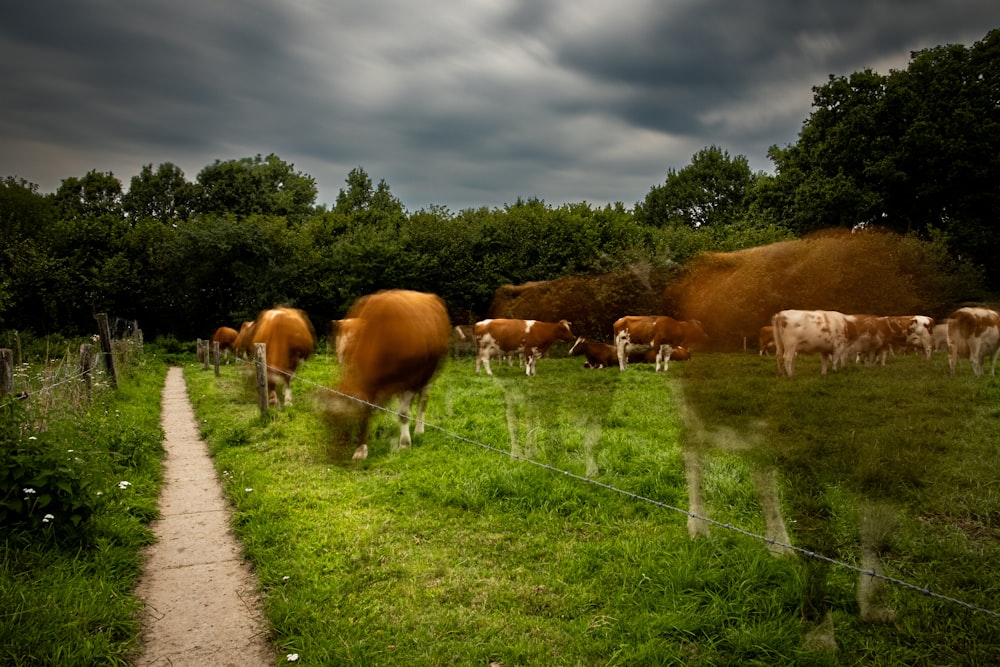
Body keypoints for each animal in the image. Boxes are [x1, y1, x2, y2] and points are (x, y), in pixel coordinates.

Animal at [332, 290, 450, 462]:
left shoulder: (409, 380)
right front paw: (361, 449)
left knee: (423, 400)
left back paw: (419, 429)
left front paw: (405, 443)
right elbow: (367, 410)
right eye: (340, 353)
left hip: (430, 373)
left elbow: (404, 414)